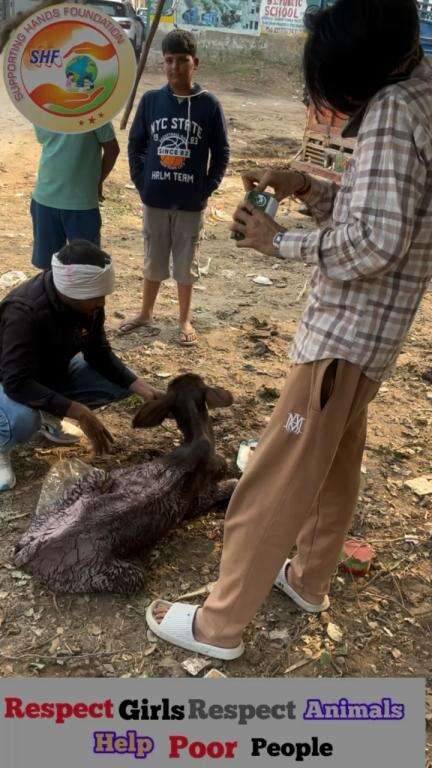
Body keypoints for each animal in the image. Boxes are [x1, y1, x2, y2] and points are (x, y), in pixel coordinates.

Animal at [14, 376, 236, 596]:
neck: (198, 439)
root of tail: (28, 553)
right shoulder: (199, 499)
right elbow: (227, 486)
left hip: (90, 481)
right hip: (110, 575)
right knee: (136, 575)